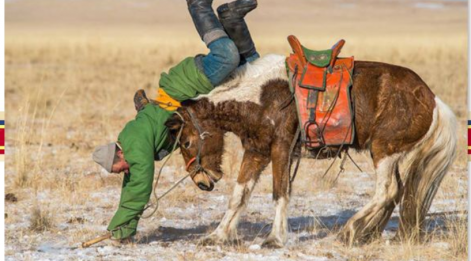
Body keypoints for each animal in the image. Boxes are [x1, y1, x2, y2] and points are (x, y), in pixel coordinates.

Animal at [165, 53, 458, 247]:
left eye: (186, 142)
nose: (202, 182)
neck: (261, 97)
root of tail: (432, 98)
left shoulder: (281, 150)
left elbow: (280, 194)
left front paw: (275, 238)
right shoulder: (256, 151)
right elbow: (238, 196)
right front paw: (216, 235)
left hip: (383, 150)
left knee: (386, 191)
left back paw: (349, 231)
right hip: (391, 154)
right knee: (396, 192)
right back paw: (365, 233)